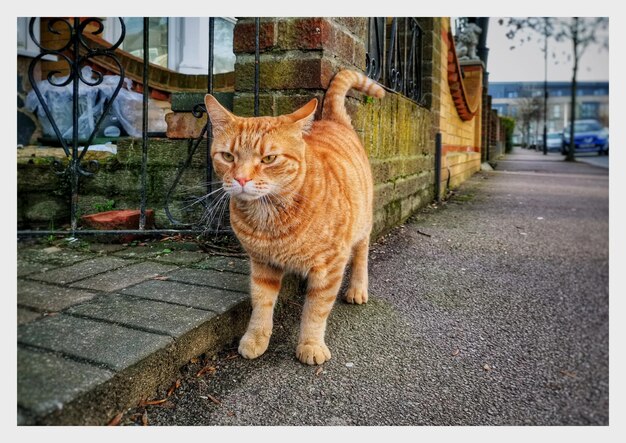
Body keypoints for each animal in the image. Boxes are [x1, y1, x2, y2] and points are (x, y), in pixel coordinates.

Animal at [202, 71, 382, 366]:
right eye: (228, 156)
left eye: (269, 158)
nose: (241, 179)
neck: (270, 217)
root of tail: (331, 119)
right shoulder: (262, 264)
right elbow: (261, 304)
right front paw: (256, 338)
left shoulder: (330, 266)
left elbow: (316, 310)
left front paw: (310, 344)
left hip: (362, 224)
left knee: (361, 254)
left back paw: (357, 288)